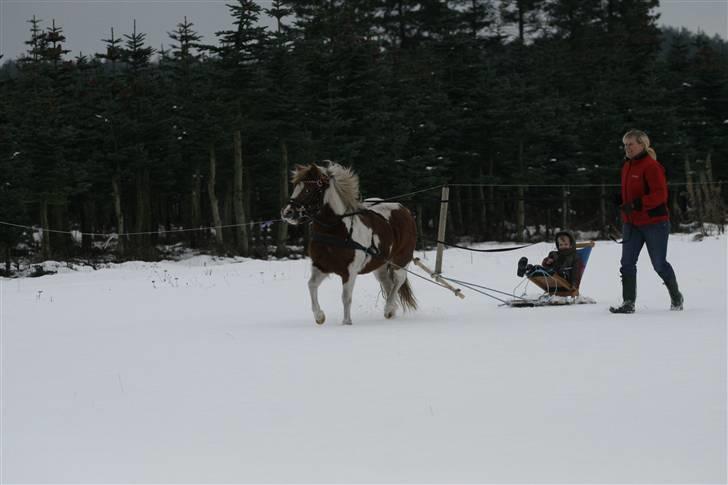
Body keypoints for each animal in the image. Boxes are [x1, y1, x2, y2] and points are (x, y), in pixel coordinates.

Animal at [280, 163, 416, 326]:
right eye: (295, 187)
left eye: (308, 189)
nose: (287, 213)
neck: (335, 232)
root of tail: (403, 209)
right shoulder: (321, 266)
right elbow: (311, 285)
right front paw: (319, 316)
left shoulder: (349, 271)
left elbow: (346, 297)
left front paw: (346, 323)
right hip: (380, 266)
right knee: (388, 284)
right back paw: (391, 311)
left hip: (401, 260)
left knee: (398, 281)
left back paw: (389, 308)